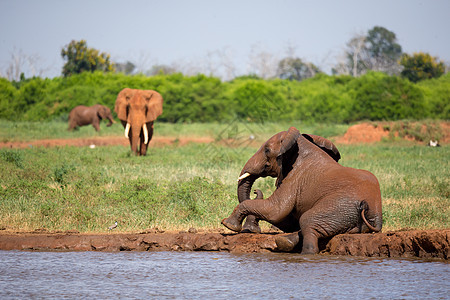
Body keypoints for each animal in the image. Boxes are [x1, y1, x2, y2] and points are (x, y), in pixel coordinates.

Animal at [222, 126, 384, 253]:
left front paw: (229, 225)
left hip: (342, 205)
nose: (256, 191)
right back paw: (285, 243)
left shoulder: (295, 178)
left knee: (307, 220)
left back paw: (306, 253)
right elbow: (287, 219)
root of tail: (375, 215)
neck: (299, 145)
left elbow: (275, 211)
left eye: (267, 150)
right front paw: (250, 229)